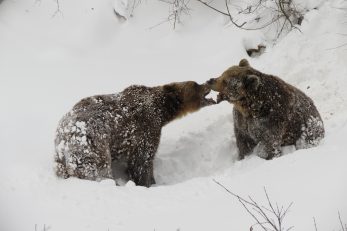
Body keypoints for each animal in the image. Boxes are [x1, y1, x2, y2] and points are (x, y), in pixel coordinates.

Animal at [54, 81, 215, 186]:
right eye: (196, 85)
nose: (208, 82)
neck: (162, 111)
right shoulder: (145, 128)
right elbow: (142, 161)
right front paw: (148, 182)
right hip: (91, 145)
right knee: (98, 170)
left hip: (60, 156)